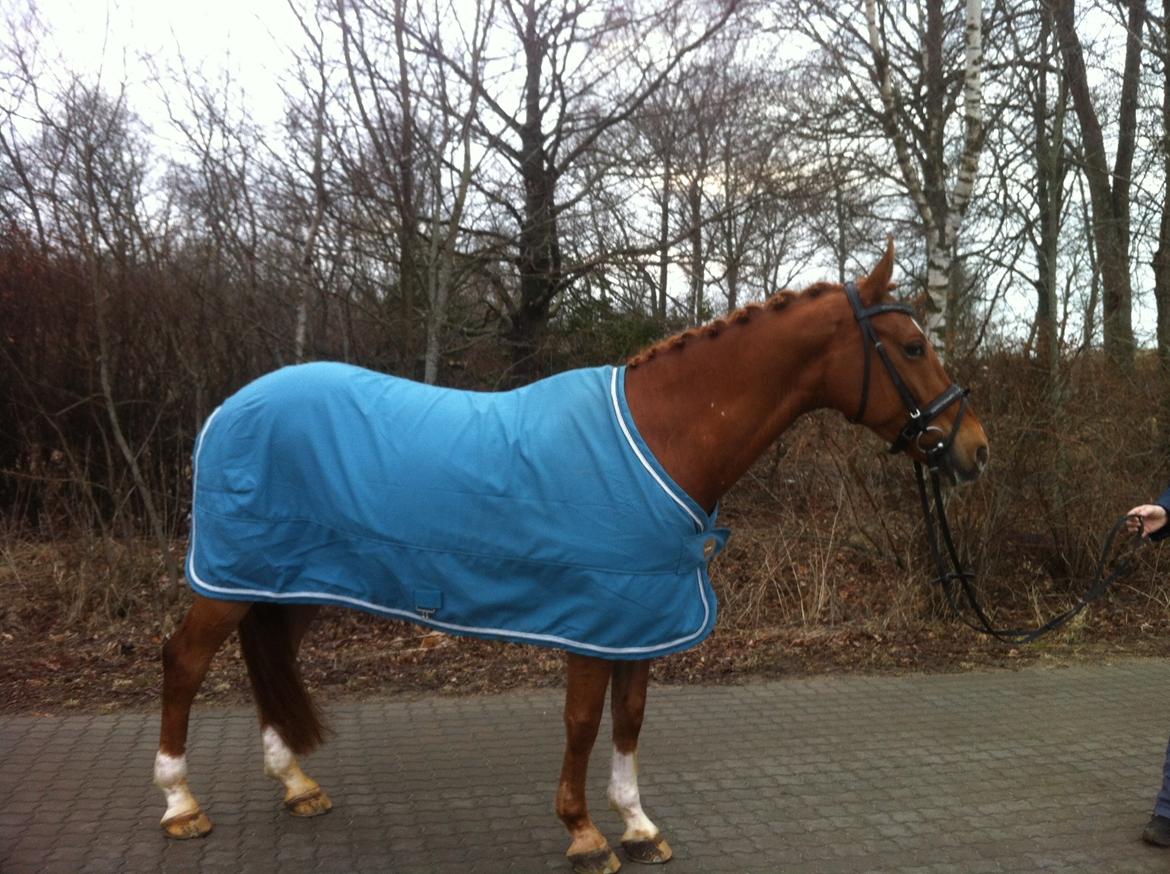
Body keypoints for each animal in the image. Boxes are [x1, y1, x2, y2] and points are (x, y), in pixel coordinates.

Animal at [154, 241, 989, 874]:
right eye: (913, 346)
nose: (975, 449)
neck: (660, 437)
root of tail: (231, 407)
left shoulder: (640, 618)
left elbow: (630, 719)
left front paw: (638, 827)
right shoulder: (595, 615)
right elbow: (585, 721)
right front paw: (585, 835)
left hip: (289, 582)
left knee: (268, 659)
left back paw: (296, 784)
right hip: (232, 580)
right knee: (185, 661)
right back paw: (181, 803)